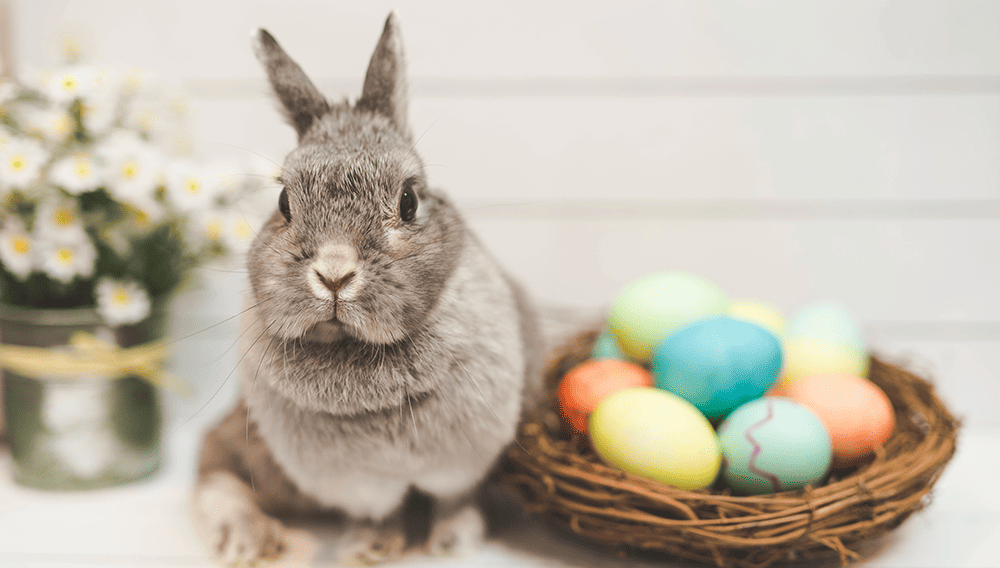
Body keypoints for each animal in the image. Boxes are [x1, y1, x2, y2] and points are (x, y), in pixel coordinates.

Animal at [191, 10, 544, 568]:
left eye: (409, 201)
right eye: (284, 202)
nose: (334, 274)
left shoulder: (463, 462)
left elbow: (454, 499)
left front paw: (449, 542)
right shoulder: (359, 485)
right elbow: (378, 512)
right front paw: (370, 548)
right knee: (213, 468)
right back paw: (249, 539)